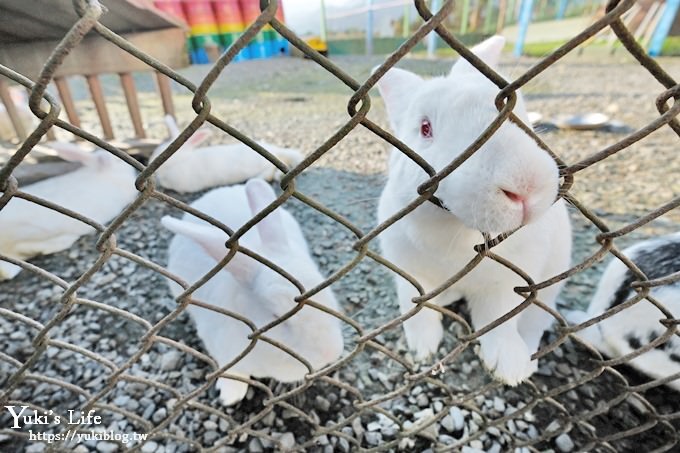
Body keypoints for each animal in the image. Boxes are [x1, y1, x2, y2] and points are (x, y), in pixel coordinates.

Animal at [374, 35, 572, 384]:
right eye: (425, 128)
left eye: (516, 112)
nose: (526, 187)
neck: (459, 233)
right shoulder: (409, 272)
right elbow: (418, 310)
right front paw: (422, 349)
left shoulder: (508, 282)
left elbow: (499, 319)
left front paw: (508, 368)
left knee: (534, 324)